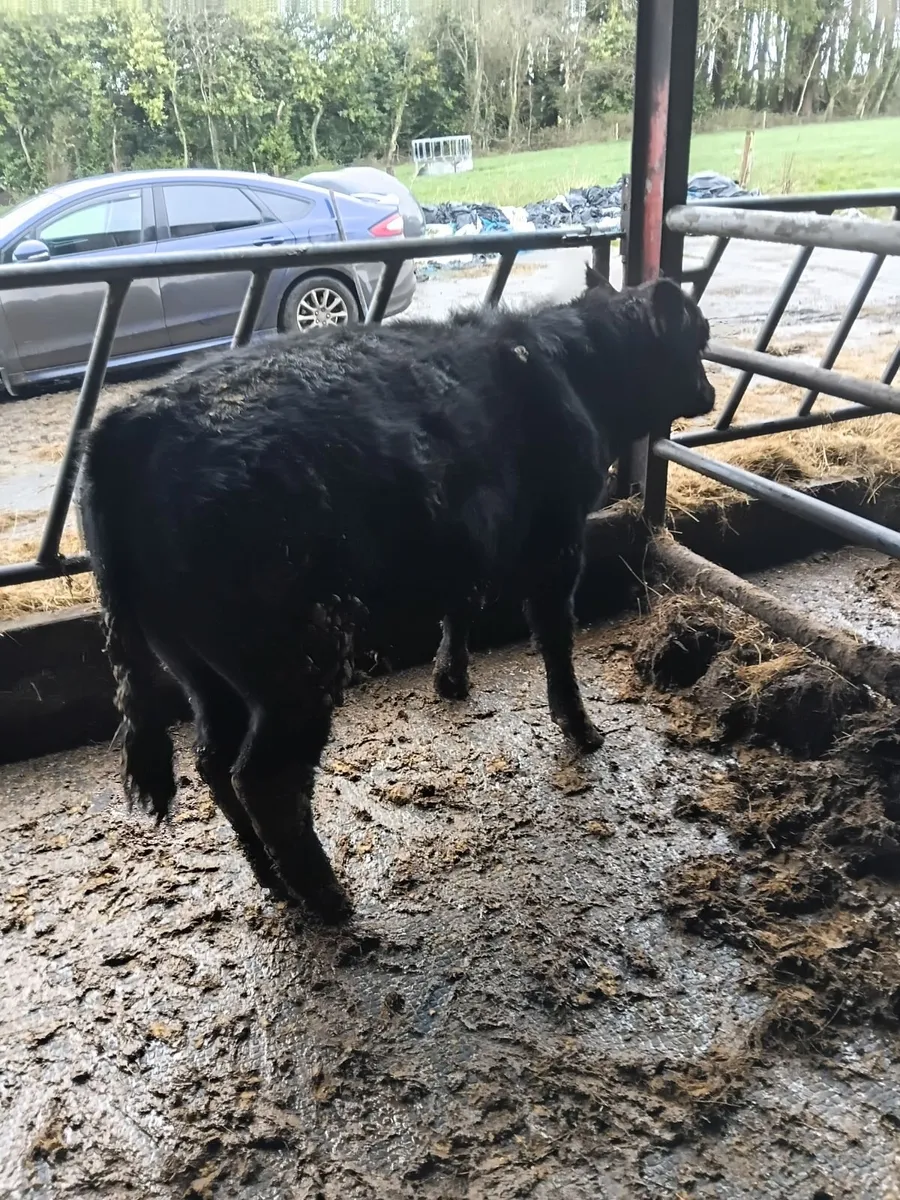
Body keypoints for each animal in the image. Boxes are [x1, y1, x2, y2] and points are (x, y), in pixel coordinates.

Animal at [79, 268, 715, 922]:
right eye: (699, 337)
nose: (710, 391)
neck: (570, 366)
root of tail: (130, 427)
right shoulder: (558, 543)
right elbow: (556, 640)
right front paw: (581, 728)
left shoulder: (463, 539)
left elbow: (458, 606)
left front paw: (451, 679)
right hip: (294, 660)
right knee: (265, 778)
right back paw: (325, 895)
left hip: (197, 666)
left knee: (213, 760)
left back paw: (269, 876)